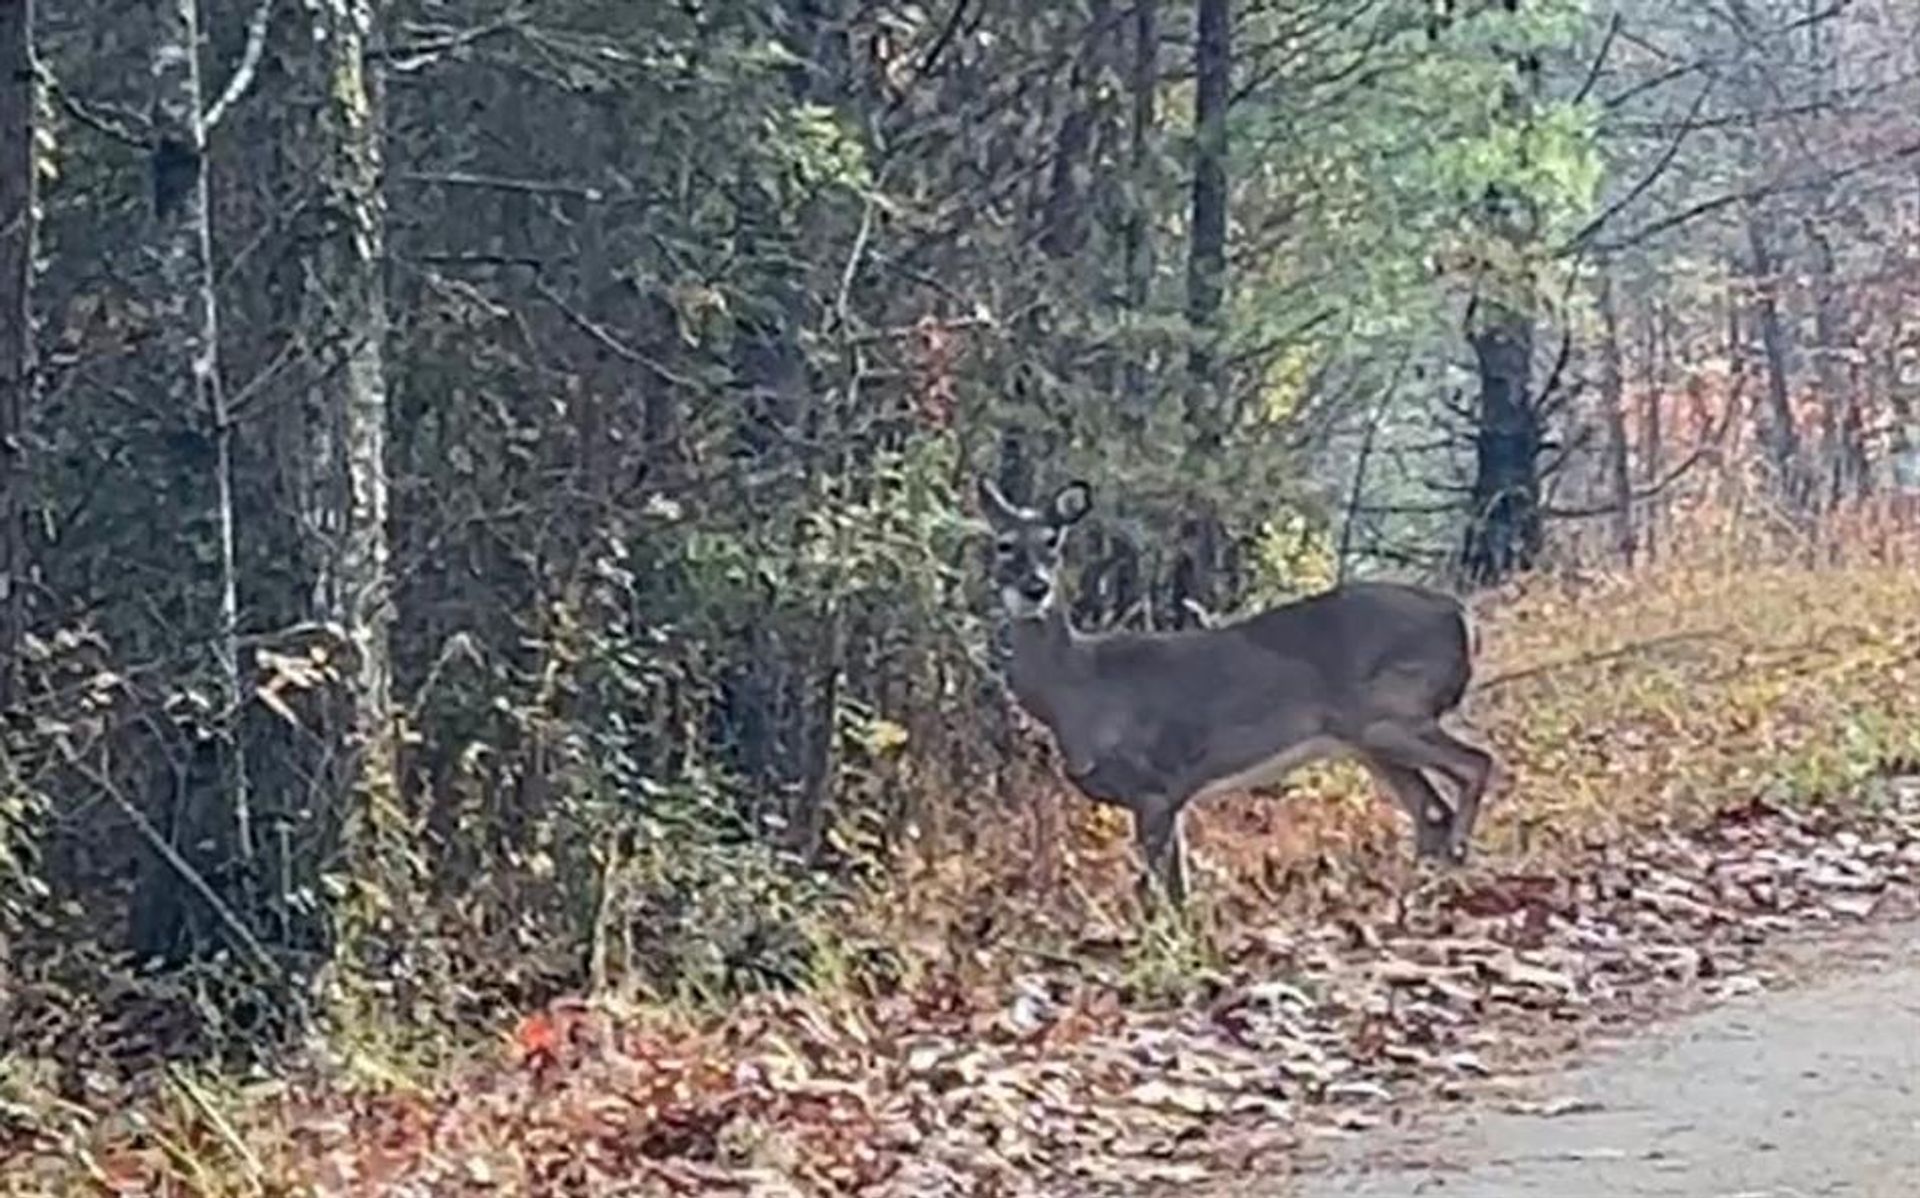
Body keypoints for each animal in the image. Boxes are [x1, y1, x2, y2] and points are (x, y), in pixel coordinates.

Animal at [975, 478, 1497, 906]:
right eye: (1004, 544)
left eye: (1053, 541)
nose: (1035, 587)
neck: (1076, 689)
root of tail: (1462, 618)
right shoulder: (1167, 797)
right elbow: (1172, 889)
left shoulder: (1155, 784)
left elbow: (1163, 895)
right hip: (1371, 740)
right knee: (1431, 810)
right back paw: (1423, 885)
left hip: (1392, 711)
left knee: (1477, 764)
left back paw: (1453, 861)